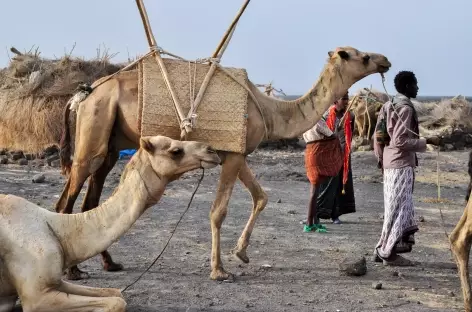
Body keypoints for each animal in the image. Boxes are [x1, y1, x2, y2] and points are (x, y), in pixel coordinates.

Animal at [0, 136, 221, 312]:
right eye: (175, 150)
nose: (213, 151)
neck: (59, 230)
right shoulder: (36, 296)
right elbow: (116, 303)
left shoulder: (56, 283)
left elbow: (116, 293)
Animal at [55, 45, 392, 280]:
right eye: (362, 57)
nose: (385, 60)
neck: (269, 110)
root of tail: (82, 95)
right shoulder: (233, 156)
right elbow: (218, 211)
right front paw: (219, 271)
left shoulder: (237, 153)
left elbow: (261, 196)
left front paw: (241, 253)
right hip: (93, 131)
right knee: (66, 200)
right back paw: (73, 271)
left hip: (110, 145)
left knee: (91, 200)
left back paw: (110, 264)